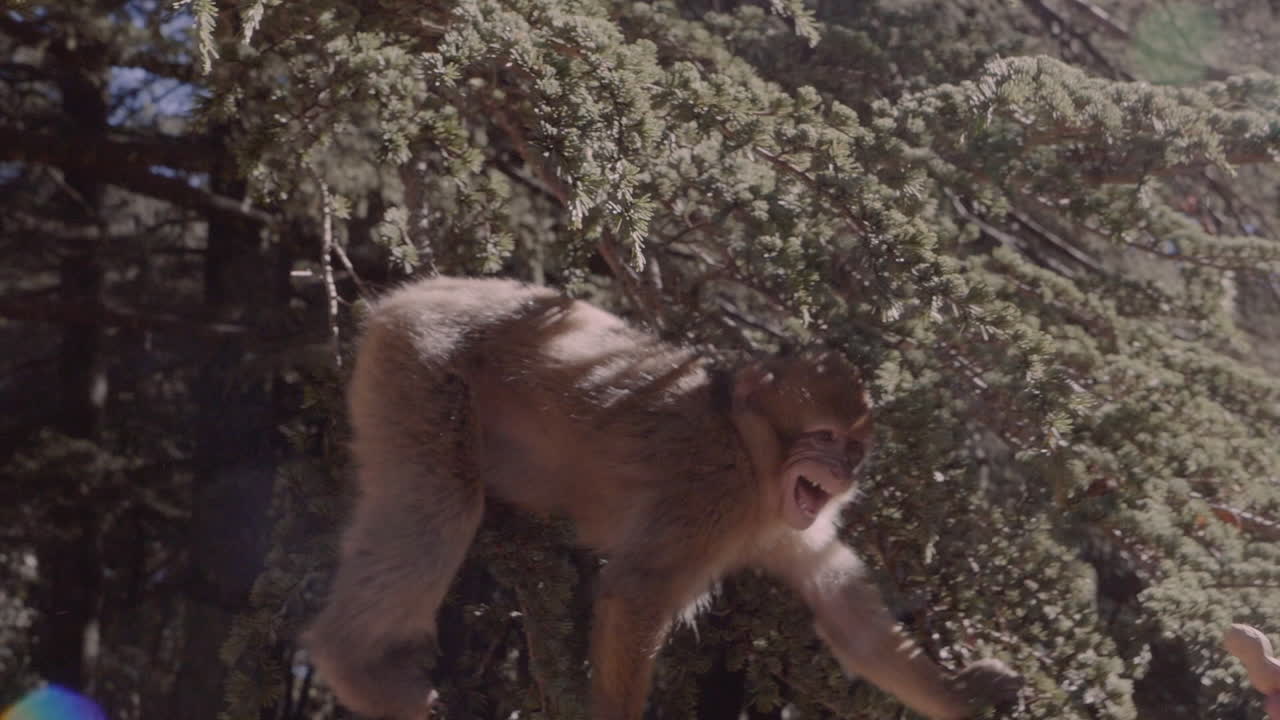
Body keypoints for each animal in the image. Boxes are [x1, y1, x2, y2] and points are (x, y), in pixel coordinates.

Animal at [303, 276, 1020, 720]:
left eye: (853, 447)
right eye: (823, 438)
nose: (842, 472)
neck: (750, 450)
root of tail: (418, 292)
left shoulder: (781, 523)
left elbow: (843, 607)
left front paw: (961, 694)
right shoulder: (713, 496)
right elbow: (637, 593)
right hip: (424, 358)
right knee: (438, 505)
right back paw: (355, 667)